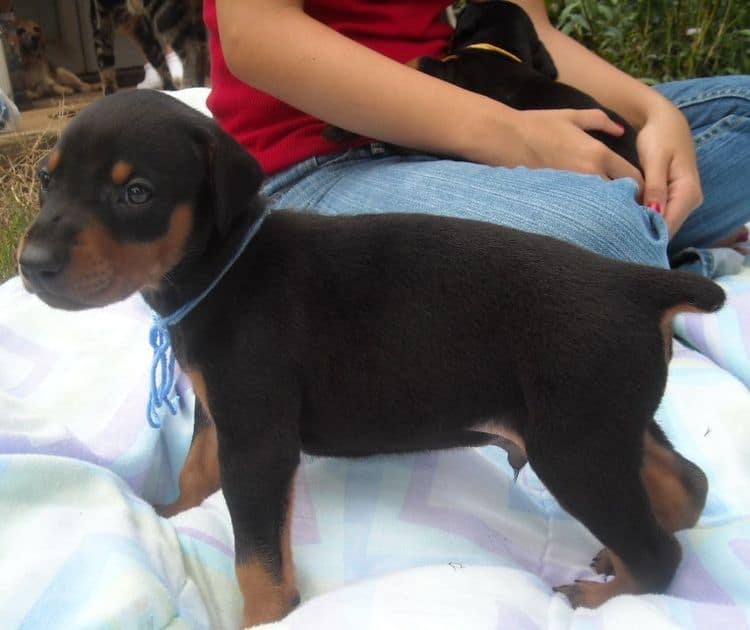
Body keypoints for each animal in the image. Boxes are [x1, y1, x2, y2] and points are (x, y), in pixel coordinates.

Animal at [16, 91, 724, 628]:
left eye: (136, 193)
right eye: (47, 179)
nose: (30, 264)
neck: (222, 267)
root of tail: (637, 283)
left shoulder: (258, 439)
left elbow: (255, 557)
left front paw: (264, 616)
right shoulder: (223, 415)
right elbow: (196, 470)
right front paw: (169, 516)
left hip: (573, 445)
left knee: (659, 555)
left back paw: (602, 595)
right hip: (606, 422)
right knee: (687, 484)